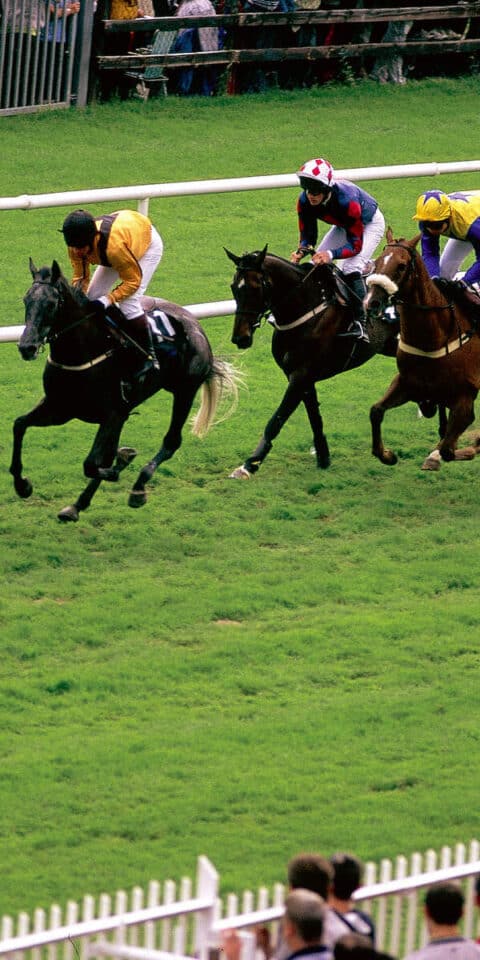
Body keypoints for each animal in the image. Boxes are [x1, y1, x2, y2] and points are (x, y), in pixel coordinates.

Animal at [12, 258, 240, 520]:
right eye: (26, 300)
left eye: (51, 304)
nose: (27, 347)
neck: (84, 352)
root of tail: (193, 323)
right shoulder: (61, 408)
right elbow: (19, 424)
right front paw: (22, 485)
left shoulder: (112, 414)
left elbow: (92, 464)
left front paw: (123, 462)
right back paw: (77, 505)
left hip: (185, 391)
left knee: (171, 441)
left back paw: (139, 488)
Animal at [225, 244, 398, 476]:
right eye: (234, 287)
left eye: (256, 287)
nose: (240, 338)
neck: (308, 309)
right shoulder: (301, 376)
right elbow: (314, 417)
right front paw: (323, 457)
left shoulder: (301, 376)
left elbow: (277, 419)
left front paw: (250, 463)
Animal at [364, 232, 480, 472]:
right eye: (377, 262)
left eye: (401, 266)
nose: (372, 302)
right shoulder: (407, 383)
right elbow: (376, 411)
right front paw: (387, 455)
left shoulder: (465, 396)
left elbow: (448, 450)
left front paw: (467, 449)